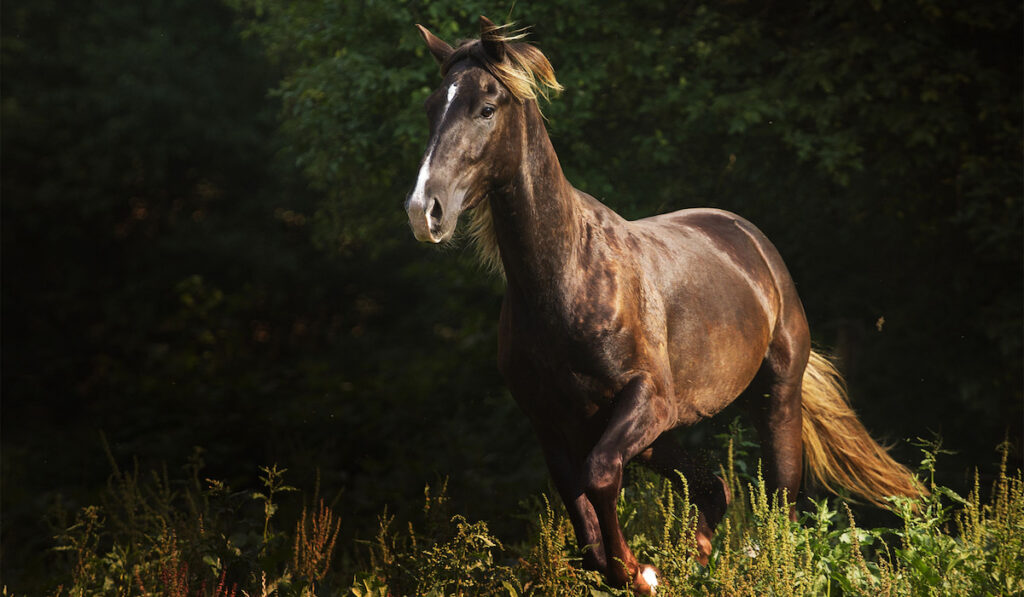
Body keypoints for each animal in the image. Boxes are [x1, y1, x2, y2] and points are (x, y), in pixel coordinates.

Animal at [403, 17, 925, 593]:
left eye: (487, 108)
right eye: (432, 106)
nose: (424, 211)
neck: (565, 281)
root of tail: (752, 240)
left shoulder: (646, 399)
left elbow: (602, 477)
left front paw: (642, 571)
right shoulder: (553, 424)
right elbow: (585, 525)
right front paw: (638, 571)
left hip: (774, 400)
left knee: (782, 504)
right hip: (663, 434)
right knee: (714, 487)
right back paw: (701, 564)